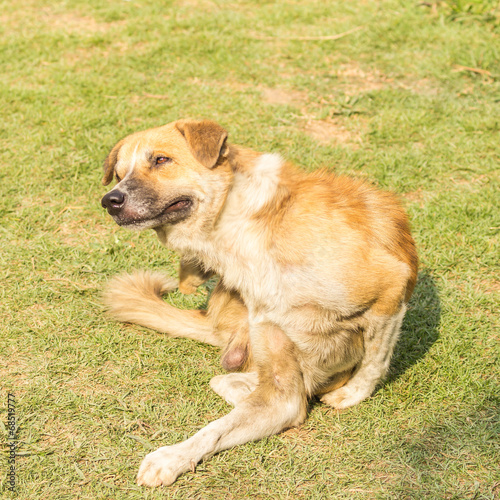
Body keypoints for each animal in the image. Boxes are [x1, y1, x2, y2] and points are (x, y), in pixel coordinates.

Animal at [100, 119, 418, 486]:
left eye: (161, 160)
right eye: (119, 173)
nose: (109, 200)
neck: (240, 237)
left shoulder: (392, 285)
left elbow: (374, 361)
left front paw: (349, 395)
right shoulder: (279, 391)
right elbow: (216, 429)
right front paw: (172, 457)